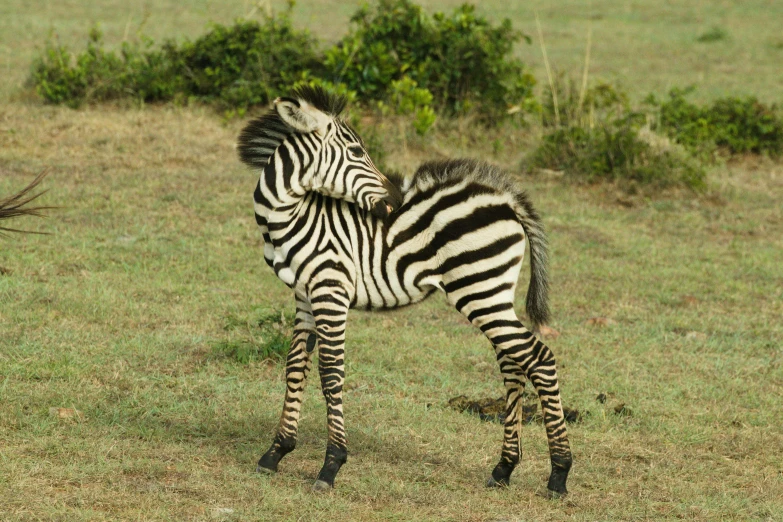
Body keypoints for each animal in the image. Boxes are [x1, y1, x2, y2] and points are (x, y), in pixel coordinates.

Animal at [236, 85, 572, 496]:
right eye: (356, 152)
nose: (395, 201)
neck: (293, 216)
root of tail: (506, 199)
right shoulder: (304, 295)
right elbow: (295, 366)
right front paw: (276, 452)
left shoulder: (331, 290)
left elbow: (331, 373)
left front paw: (331, 465)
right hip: (492, 292)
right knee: (513, 363)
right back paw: (504, 468)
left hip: (479, 289)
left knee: (539, 358)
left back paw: (559, 473)